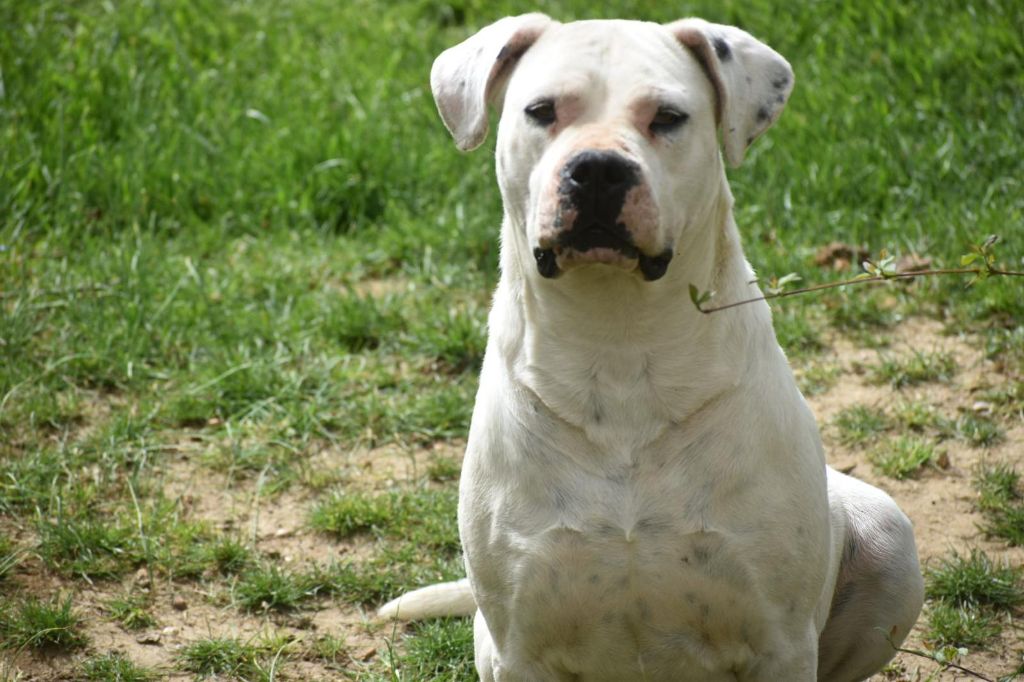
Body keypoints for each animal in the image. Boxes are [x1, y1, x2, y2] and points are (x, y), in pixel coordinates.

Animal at [380, 15, 925, 679]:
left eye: (667, 117)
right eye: (541, 110)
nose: (597, 169)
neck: (620, 347)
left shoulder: (780, 643)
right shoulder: (521, 649)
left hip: (888, 539)